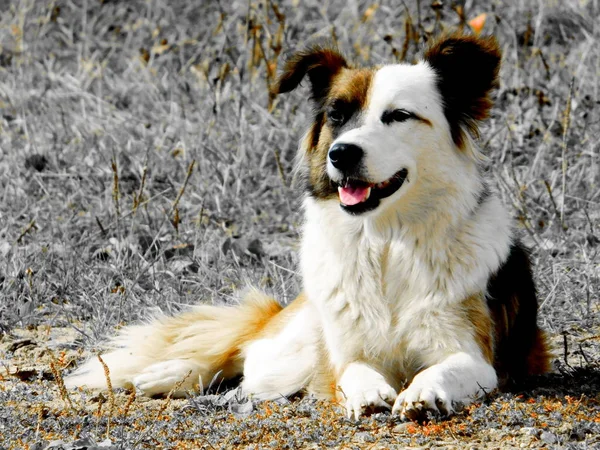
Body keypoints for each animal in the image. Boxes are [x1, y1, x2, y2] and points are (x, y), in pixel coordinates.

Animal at [67, 32, 552, 422]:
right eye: (336, 114)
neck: (386, 242)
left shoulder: (478, 358)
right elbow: (352, 370)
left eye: (398, 115)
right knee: (245, 350)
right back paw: (170, 374)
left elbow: (442, 369)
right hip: (289, 347)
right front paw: (368, 391)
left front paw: (422, 391)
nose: (342, 153)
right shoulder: (344, 352)